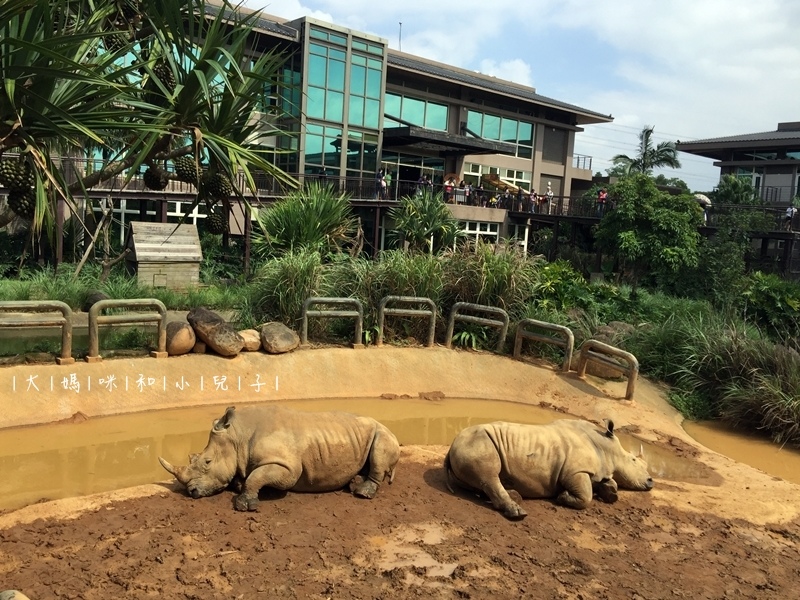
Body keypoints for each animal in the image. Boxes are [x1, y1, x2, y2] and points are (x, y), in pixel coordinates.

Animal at [159, 404, 400, 510]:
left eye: (207, 462)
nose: (191, 492)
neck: (238, 435)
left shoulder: (288, 468)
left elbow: (256, 477)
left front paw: (245, 504)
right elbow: (247, 476)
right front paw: (239, 484)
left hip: (383, 432)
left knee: (380, 449)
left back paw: (361, 493)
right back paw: (353, 483)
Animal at [446, 418, 652, 520]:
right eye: (634, 459)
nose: (651, 481)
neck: (605, 448)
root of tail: (451, 445)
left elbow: (610, 482)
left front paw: (611, 494)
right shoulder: (575, 472)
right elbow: (586, 496)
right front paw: (563, 497)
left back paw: (515, 495)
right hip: (477, 443)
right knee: (489, 476)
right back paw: (519, 513)